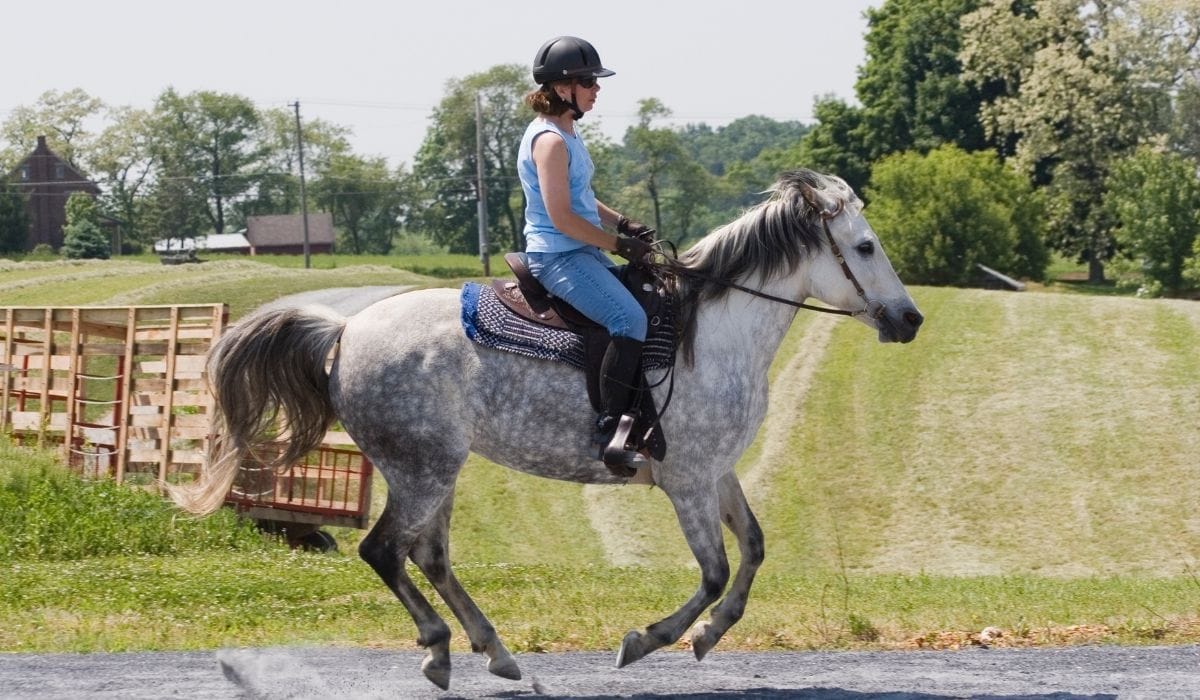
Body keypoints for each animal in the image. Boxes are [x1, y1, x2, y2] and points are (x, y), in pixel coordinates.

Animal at [170, 169, 923, 690]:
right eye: (865, 246)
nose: (911, 319)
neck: (711, 334)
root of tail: (345, 330)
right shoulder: (686, 480)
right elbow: (713, 572)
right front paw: (648, 639)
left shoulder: (715, 471)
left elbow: (755, 550)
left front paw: (709, 637)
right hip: (423, 468)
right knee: (385, 551)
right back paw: (441, 646)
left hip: (433, 468)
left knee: (429, 556)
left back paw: (492, 651)